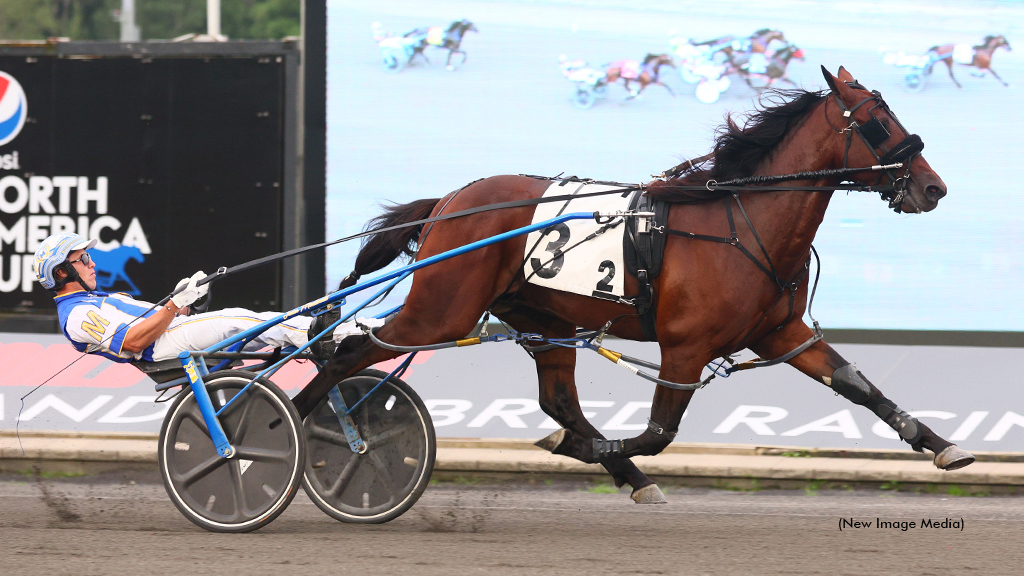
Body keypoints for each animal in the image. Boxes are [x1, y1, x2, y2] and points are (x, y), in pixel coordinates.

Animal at [292, 65, 970, 500]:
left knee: (558, 398)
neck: (741, 221)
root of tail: (450, 202)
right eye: (879, 122)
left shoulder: (779, 331)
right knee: (348, 352)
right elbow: (658, 431)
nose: (932, 187)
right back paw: (284, 428)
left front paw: (941, 443)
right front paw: (590, 450)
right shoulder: (686, 347)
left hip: (541, 318)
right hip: (441, 311)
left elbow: (857, 384)